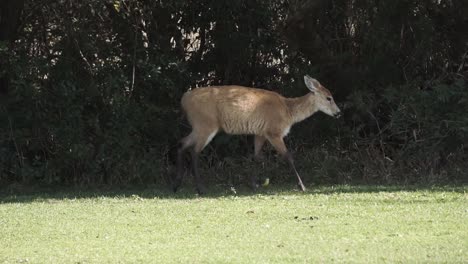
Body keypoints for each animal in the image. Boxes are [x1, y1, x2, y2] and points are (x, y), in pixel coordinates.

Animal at [174, 75, 342, 194]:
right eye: (329, 98)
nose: (338, 113)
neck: (288, 111)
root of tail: (184, 99)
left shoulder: (260, 133)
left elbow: (256, 157)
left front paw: (254, 185)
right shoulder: (274, 131)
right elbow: (288, 156)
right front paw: (302, 186)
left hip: (199, 126)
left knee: (182, 143)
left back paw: (176, 186)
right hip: (206, 124)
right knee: (194, 151)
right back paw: (200, 188)